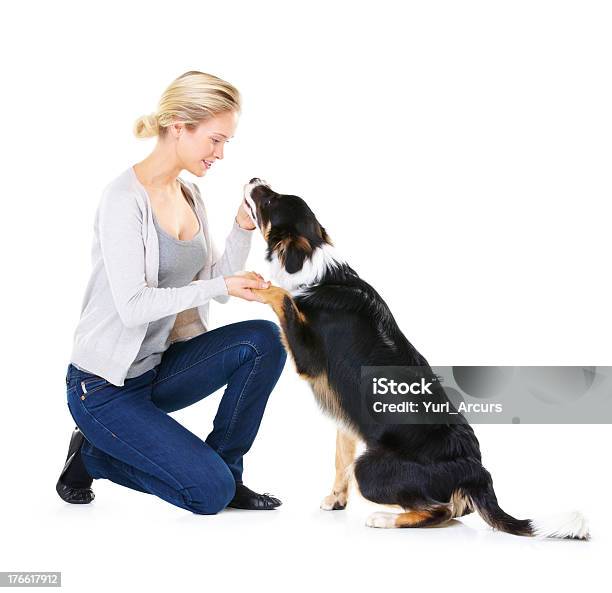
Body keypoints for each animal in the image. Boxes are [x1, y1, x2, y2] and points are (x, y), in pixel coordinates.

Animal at [243, 175, 588, 536]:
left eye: (270, 200)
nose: (254, 178)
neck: (315, 266)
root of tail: (475, 471)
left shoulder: (307, 358)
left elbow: (281, 297)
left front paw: (259, 285)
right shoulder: (346, 412)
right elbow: (340, 455)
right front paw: (336, 499)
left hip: (369, 467)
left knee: (438, 511)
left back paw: (383, 518)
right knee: (451, 508)